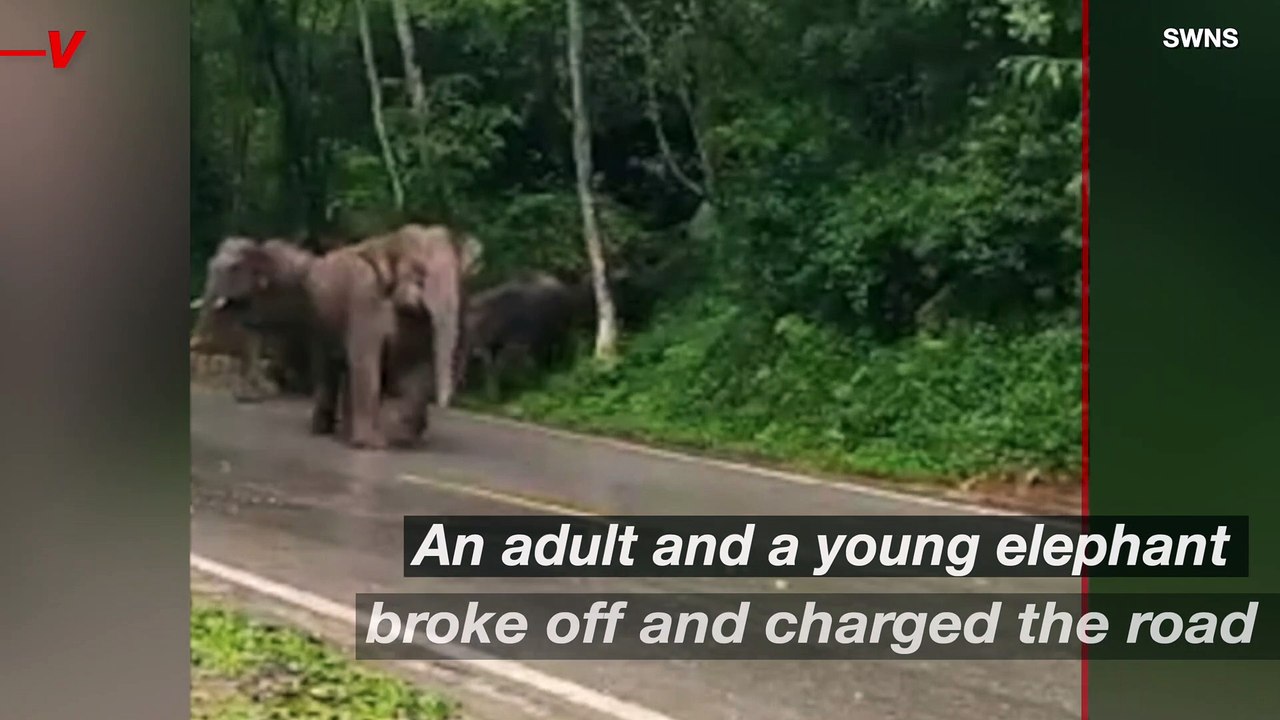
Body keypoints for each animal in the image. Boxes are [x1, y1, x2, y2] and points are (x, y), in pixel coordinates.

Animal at [207, 224, 479, 449]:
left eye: (461, 278)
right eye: (419, 272)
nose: (447, 403)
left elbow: (419, 366)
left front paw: (403, 439)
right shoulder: (364, 298)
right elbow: (366, 362)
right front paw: (373, 445)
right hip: (321, 323)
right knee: (330, 368)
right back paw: (324, 430)